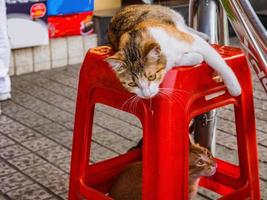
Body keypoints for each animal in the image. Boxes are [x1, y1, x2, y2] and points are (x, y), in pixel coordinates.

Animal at [107, 4, 243, 98]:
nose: (147, 95)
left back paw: (202, 35)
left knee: (184, 27)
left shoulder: (193, 42)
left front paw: (234, 87)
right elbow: (190, 58)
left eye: (151, 76)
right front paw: (193, 57)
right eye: (132, 84)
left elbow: (216, 61)